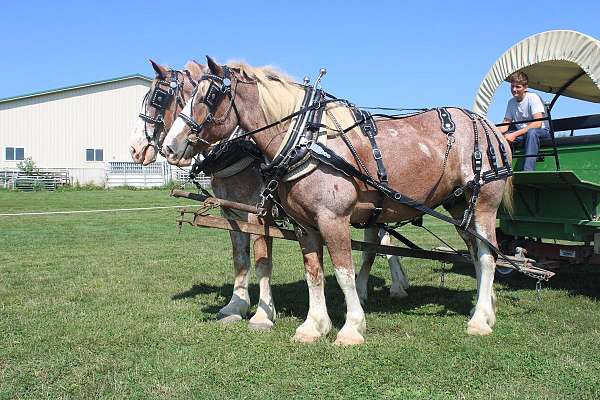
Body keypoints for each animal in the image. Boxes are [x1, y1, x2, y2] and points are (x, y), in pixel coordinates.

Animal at [131, 61, 410, 332]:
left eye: (158, 97)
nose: (136, 150)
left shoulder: (259, 214)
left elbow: (262, 261)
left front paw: (263, 316)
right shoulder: (231, 212)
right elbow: (240, 259)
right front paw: (236, 306)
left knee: (376, 246)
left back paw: (386, 287)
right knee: (380, 242)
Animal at [162, 57, 508, 346]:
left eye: (208, 96)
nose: (169, 146)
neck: (306, 140)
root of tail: (490, 128)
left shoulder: (333, 219)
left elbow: (343, 273)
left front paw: (352, 328)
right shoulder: (305, 225)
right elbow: (313, 272)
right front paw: (313, 326)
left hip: (484, 205)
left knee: (487, 257)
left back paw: (479, 320)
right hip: (460, 206)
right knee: (475, 253)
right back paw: (484, 307)